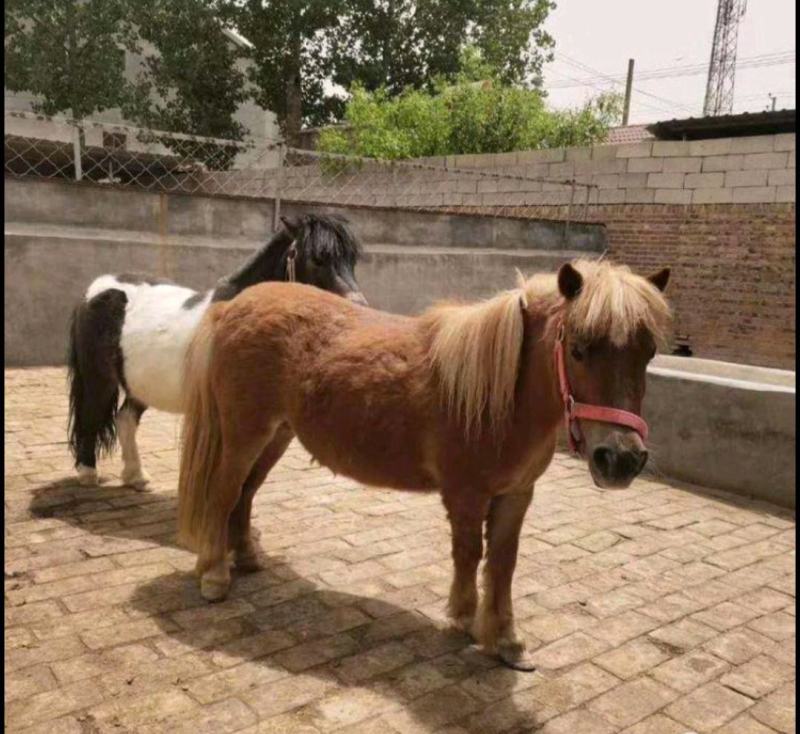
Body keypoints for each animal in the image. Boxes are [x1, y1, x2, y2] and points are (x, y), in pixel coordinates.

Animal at [66, 213, 366, 490]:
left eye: (352, 261)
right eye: (317, 259)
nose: (359, 307)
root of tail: (95, 288)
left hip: (139, 383)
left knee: (125, 419)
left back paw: (136, 477)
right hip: (99, 378)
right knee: (90, 415)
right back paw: (88, 474)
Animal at [176, 258, 671, 670]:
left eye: (647, 353)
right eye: (579, 349)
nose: (621, 459)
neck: (500, 396)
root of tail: (234, 306)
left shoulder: (516, 495)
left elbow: (504, 562)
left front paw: (507, 641)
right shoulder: (466, 495)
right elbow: (469, 555)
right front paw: (464, 620)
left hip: (277, 436)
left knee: (246, 493)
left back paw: (247, 558)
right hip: (245, 435)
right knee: (222, 493)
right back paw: (215, 576)